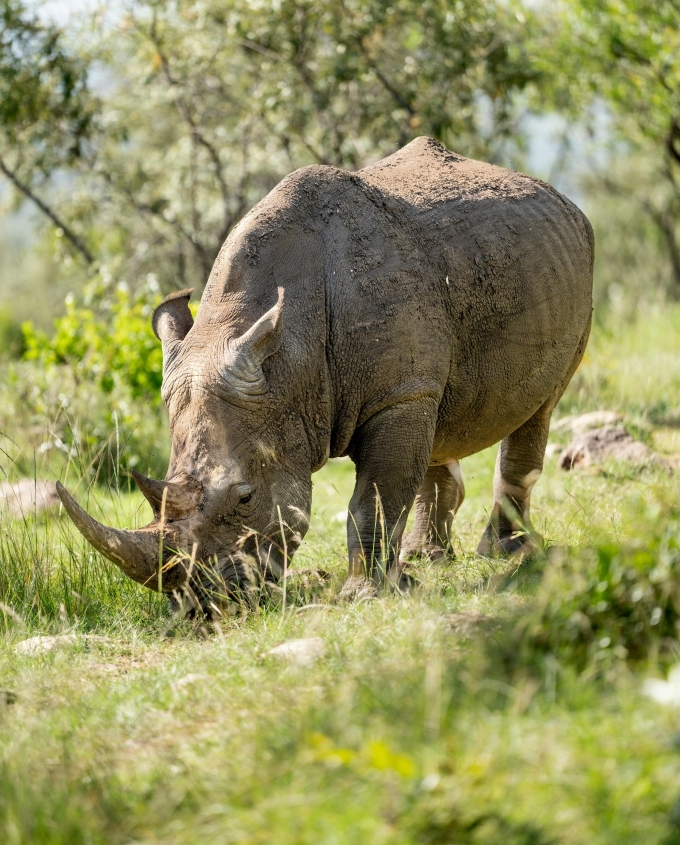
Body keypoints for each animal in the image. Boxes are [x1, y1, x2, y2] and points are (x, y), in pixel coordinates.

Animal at [57, 137, 593, 611]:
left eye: (245, 497)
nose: (203, 606)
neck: (289, 359)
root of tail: (559, 196)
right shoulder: (394, 391)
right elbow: (393, 483)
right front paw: (402, 583)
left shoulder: (394, 397)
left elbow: (373, 500)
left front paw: (364, 595)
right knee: (438, 420)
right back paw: (429, 558)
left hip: (575, 265)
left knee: (540, 406)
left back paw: (505, 553)